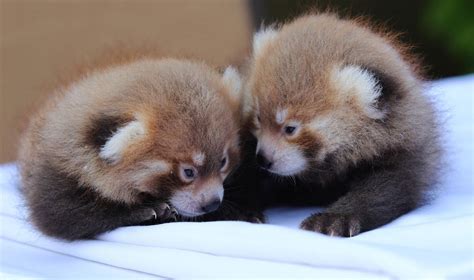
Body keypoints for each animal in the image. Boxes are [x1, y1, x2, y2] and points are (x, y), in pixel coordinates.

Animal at [17, 57, 244, 241]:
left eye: (223, 162)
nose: (212, 203)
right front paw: (149, 211)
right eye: (188, 172)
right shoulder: (54, 175)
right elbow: (60, 216)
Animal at [243, 13, 442, 236]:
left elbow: (382, 191)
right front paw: (239, 210)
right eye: (258, 119)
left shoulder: (403, 156)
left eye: (290, 129)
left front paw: (334, 219)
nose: (263, 159)